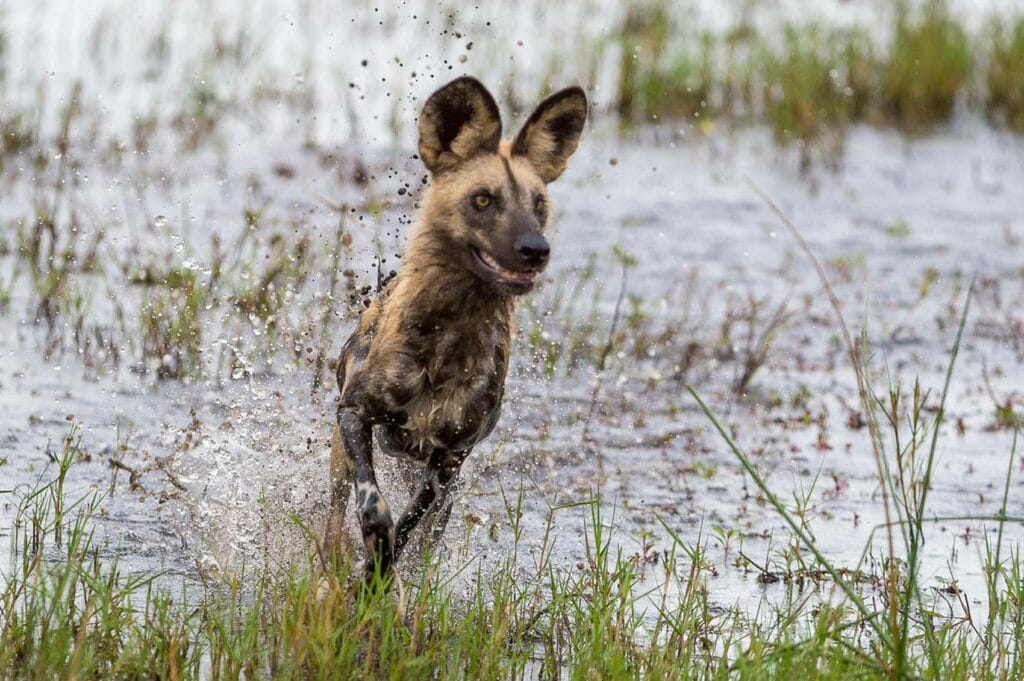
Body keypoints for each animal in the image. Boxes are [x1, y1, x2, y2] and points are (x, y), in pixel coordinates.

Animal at [323, 75, 589, 573]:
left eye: (538, 204)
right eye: (482, 199)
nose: (535, 249)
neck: (445, 340)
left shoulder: (449, 460)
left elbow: (409, 525)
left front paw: (382, 574)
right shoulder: (353, 415)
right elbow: (375, 509)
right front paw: (372, 566)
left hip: (441, 482)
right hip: (340, 459)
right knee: (333, 515)